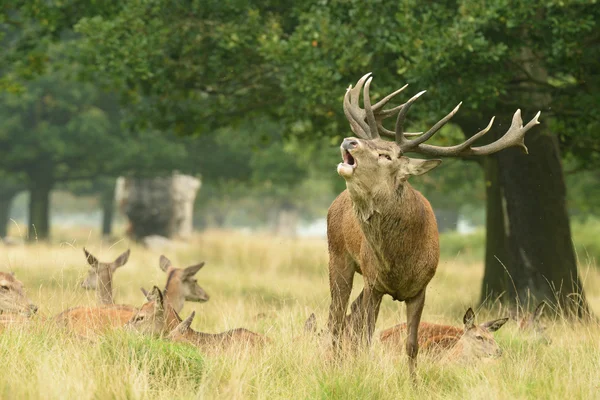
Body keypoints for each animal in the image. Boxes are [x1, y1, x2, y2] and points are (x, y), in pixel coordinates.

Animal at [326, 72, 540, 378]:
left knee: (346, 318)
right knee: (335, 318)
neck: (398, 261)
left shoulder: (421, 287)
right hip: (338, 256)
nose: (349, 141)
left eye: (386, 156)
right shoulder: (374, 282)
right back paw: (331, 364)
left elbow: (412, 345)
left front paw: (413, 381)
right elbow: (365, 336)